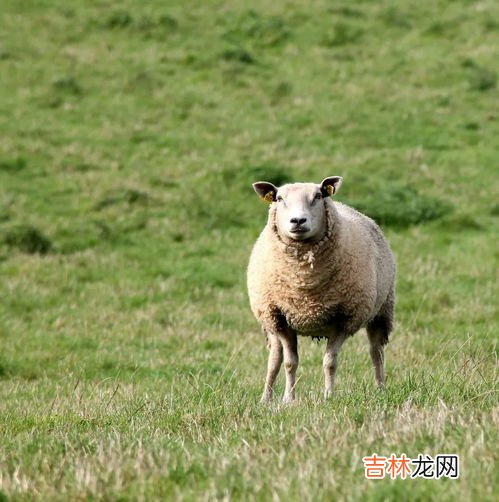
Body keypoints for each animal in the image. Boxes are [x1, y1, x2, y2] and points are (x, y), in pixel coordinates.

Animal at [248, 177, 396, 404]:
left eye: (318, 196)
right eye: (279, 198)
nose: (298, 221)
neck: (304, 284)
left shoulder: (344, 318)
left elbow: (330, 362)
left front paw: (329, 396)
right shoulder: (280, 316)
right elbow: (289, 362)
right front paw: (288, 400)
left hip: (381, 311)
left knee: (376, 352)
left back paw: (380, 389)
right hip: (269, 320)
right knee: (274, 358)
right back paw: (265, 399)